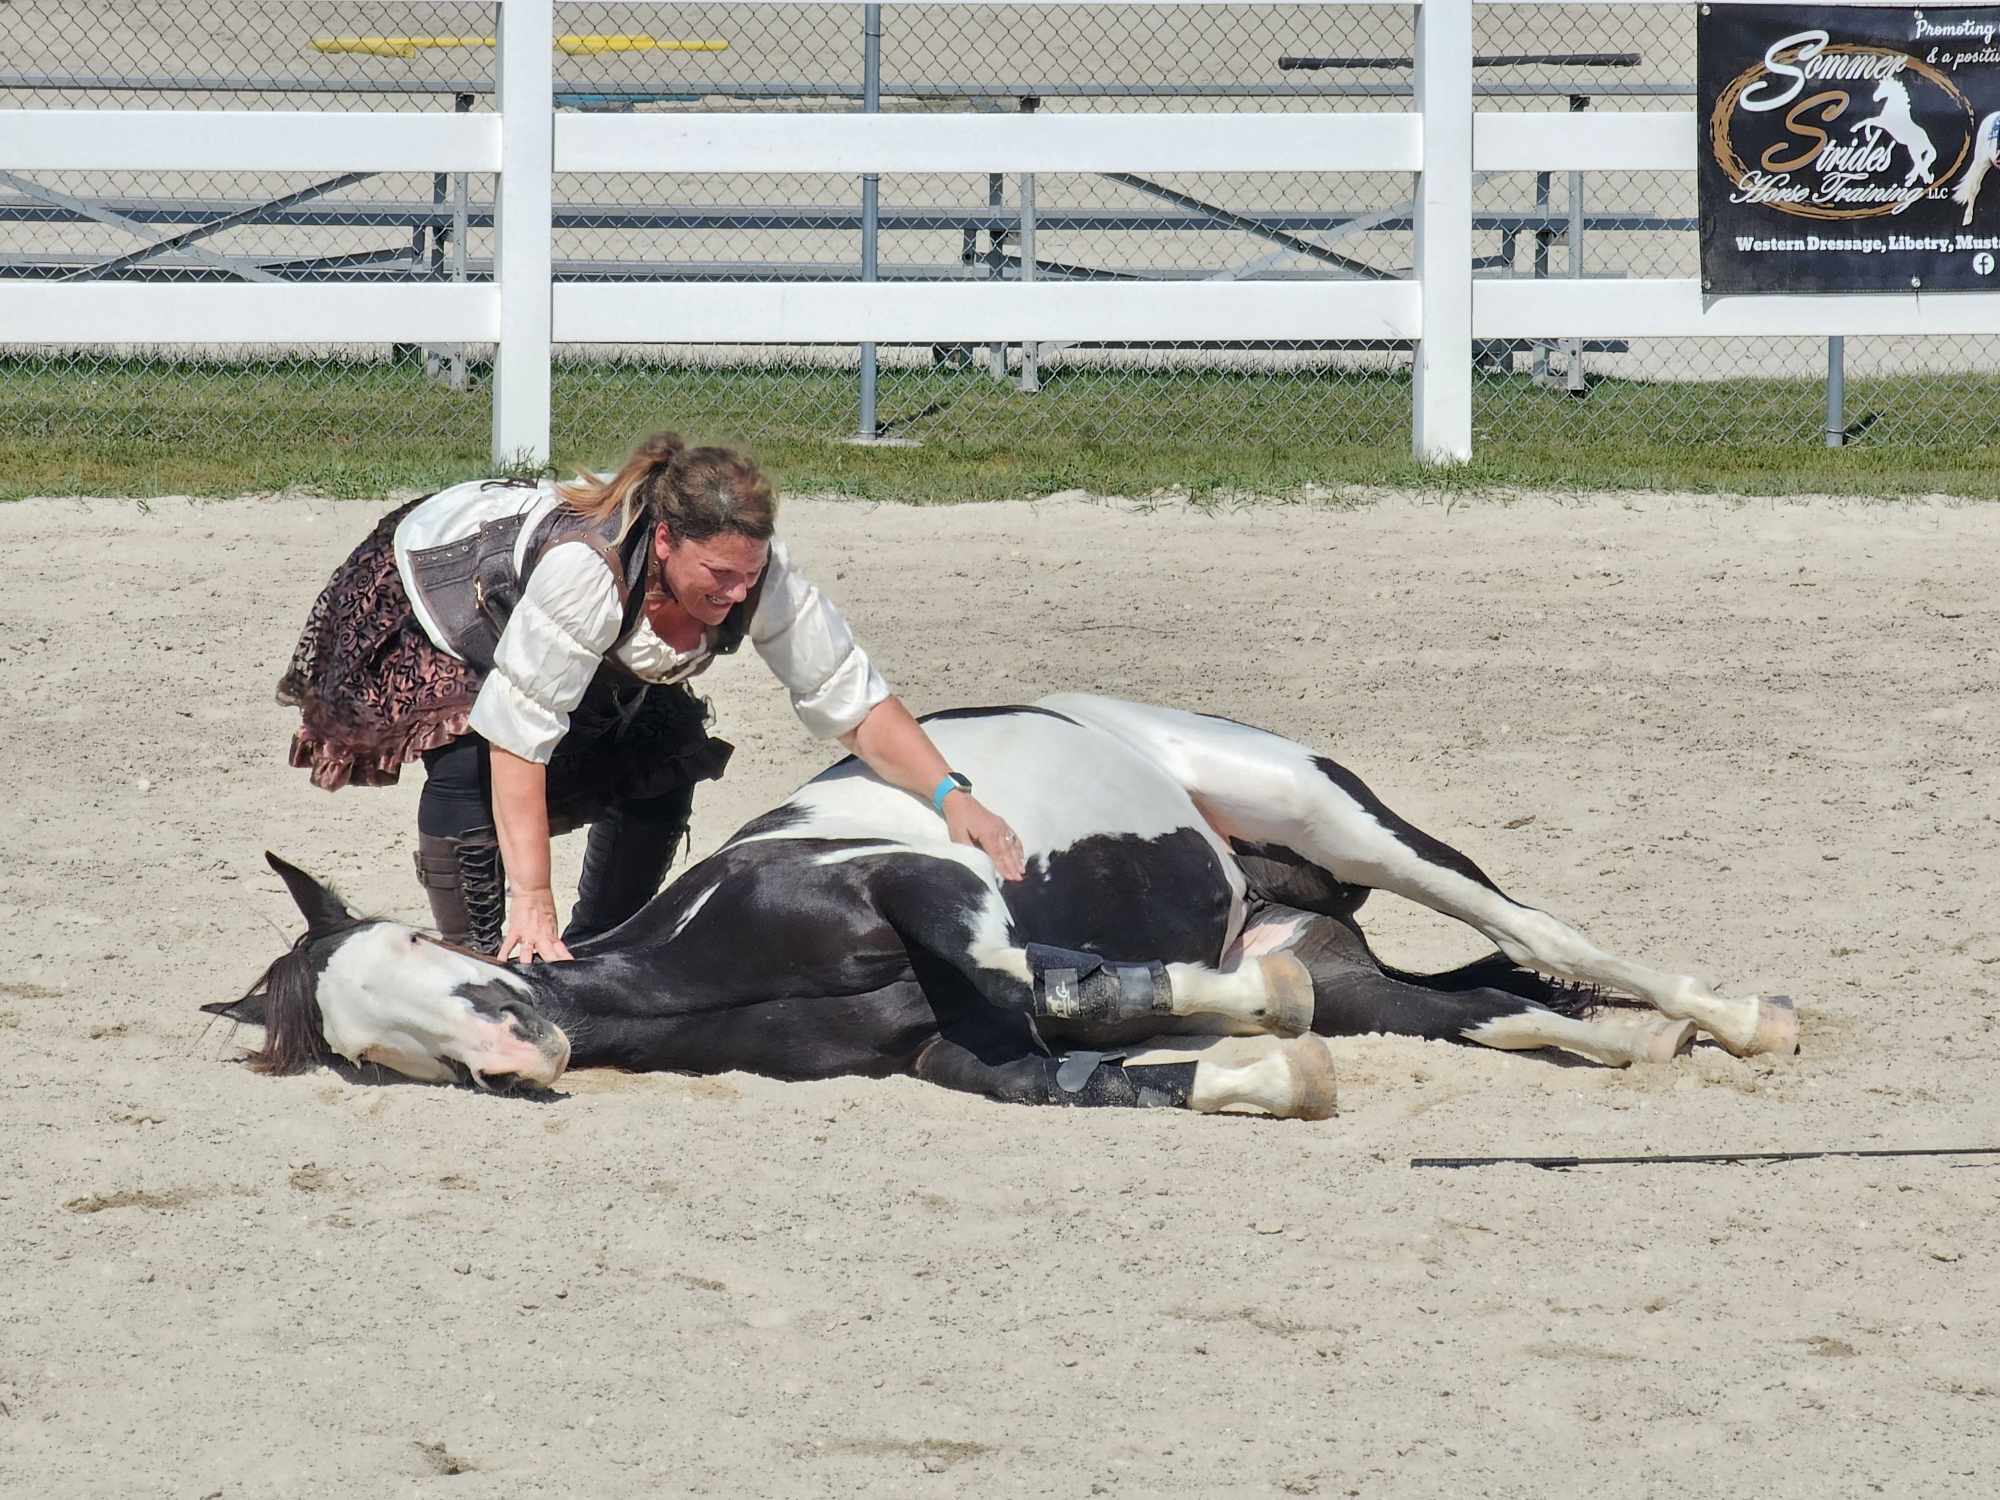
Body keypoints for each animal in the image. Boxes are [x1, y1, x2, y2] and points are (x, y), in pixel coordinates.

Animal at [208, 696, 1798, 1119]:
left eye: (422, 949)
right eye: (368, 1050)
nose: (512, 1048)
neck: (694, 959)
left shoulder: (926, 884)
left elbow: (1069, 982)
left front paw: (1245, 1020)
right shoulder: (955, 1057)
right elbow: (1105, 1075)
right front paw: (1271, 1069)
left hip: (1333, 816)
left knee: (1534, 933)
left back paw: (1741, 1015)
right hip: (1354, 958)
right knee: (1483, 1000)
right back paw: (1638, 1045)